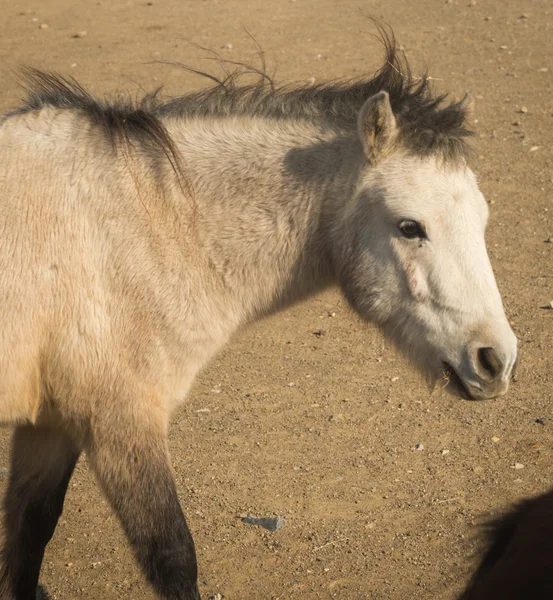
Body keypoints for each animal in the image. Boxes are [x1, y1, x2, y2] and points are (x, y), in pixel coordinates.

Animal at [1, 30, 516, 600]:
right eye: (409, 227)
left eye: (483, 219)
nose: (495, 360)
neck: (140, 223)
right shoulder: (120, 420)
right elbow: (172, 555)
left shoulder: (51, 425)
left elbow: (29, 532)